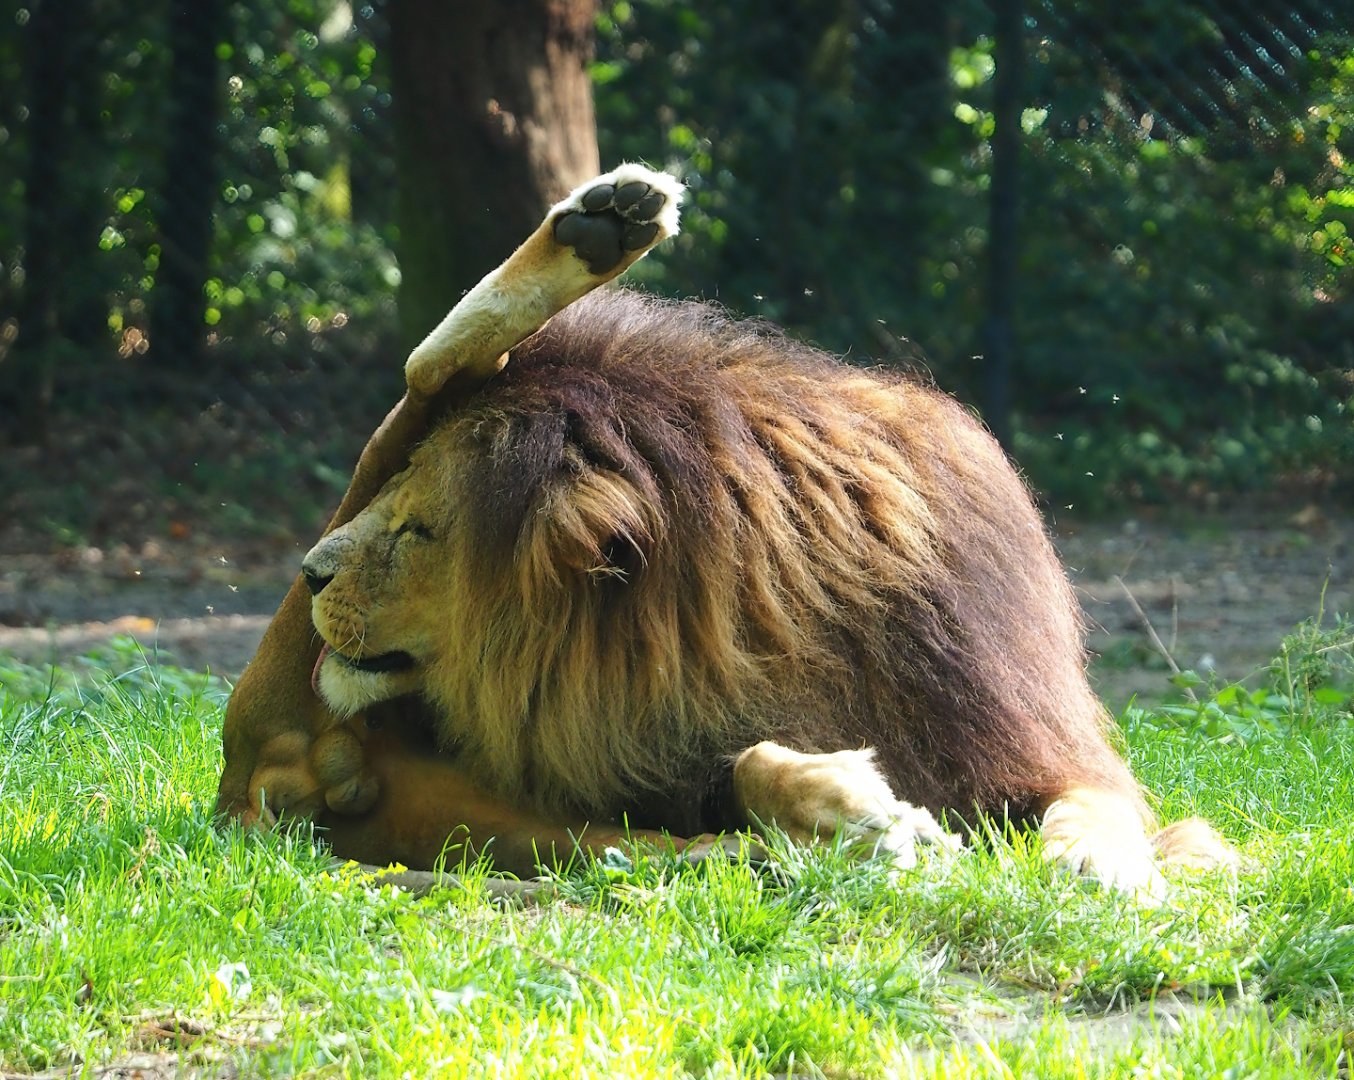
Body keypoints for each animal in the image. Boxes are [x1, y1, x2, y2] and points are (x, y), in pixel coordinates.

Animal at [217, 163, 1234, 894]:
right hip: (499, 817)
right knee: (425, 374)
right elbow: (746, 762)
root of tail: (249, 789)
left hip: (521, 835)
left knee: (437, 379)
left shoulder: (1021, 735)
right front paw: (872, 816)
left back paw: (605, 225)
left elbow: (1094, 807)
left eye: (421, 530)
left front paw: (1096, 861)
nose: (312, 572)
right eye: (400, 515)